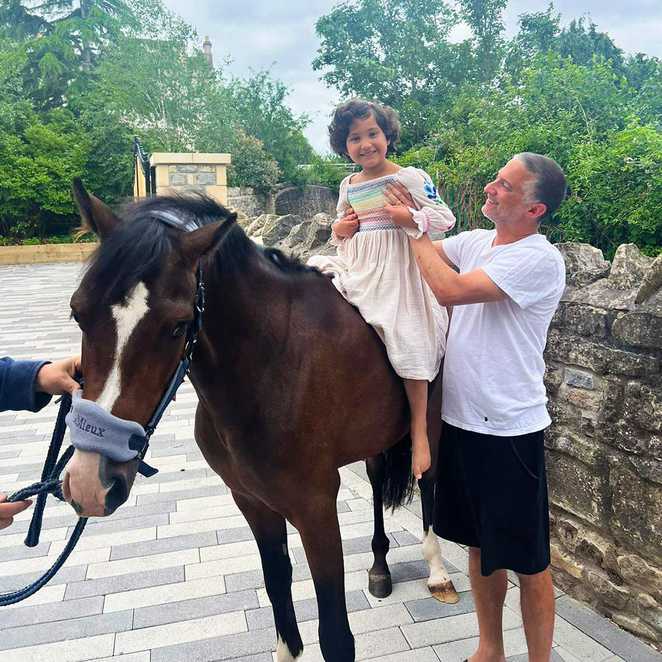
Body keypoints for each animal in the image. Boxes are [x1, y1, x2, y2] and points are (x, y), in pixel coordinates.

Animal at [63, 183, 456, 662]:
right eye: (78, 312)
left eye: (177, 325)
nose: (90, 481)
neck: (271, 364)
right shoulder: (251, 500)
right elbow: (277, 585)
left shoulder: (316, 508)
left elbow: (335, 634)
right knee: (379, 477)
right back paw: (379, 566)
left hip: (430, 424)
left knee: (429, 478)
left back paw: (437, 570)